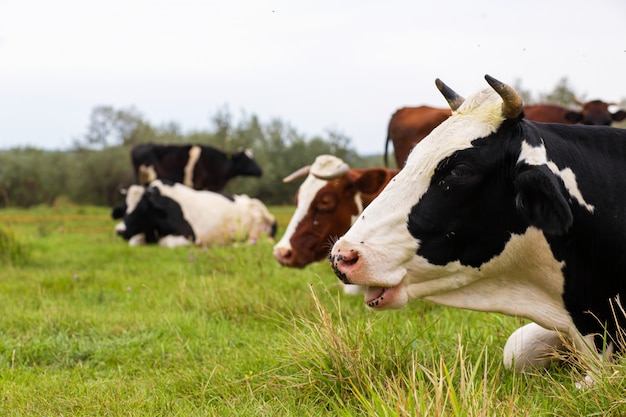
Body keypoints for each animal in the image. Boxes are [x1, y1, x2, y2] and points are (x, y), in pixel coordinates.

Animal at [114, 180, 276, 245]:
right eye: (125, 208)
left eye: (141, 208)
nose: (119, 230)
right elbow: (134, 242)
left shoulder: (189, 235)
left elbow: (165, 242)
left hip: (256, 232)